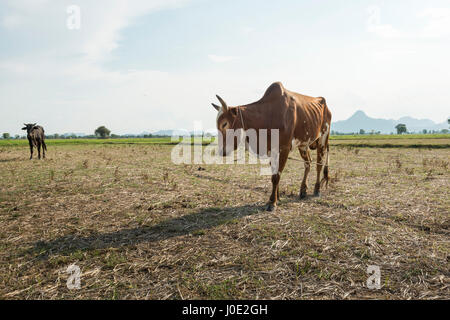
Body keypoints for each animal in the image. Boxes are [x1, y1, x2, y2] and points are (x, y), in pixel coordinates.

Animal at [213, 82, 332, 210]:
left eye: (224, 124)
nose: (221, 151)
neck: (269, 114)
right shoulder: (271, 150)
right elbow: (273, 174)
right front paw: (277, 197)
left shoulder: (284, 148)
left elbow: (276, 176)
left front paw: (272, 202)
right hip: (303, 144)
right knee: (308, 163)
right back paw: (303, 190)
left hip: (323, 138)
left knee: (319, 164)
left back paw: (317, 189)